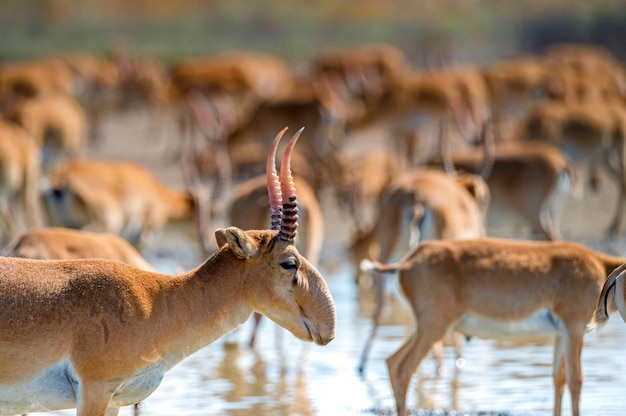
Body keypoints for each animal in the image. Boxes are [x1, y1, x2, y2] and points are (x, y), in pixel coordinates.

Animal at [360, 237, 624, 416]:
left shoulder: (560, 333)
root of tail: (406, 262)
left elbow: (558, 379)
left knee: (392, 362)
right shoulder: (574, 327)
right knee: (403, 369)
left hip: (426, 328)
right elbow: (575, 379)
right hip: (434, 327)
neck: (600, 265)